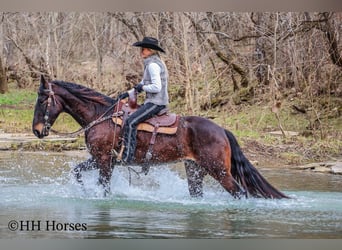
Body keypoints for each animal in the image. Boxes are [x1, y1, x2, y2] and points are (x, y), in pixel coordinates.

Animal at [32, 75, 288, 199]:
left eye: (43, 99)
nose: (36, 130)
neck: (100, 116)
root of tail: (222, 130)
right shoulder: (102, 160)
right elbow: (76, 172)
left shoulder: (103, 160)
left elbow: (104, 187)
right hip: (195, 170)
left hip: (219, 171)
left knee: (239, 193)